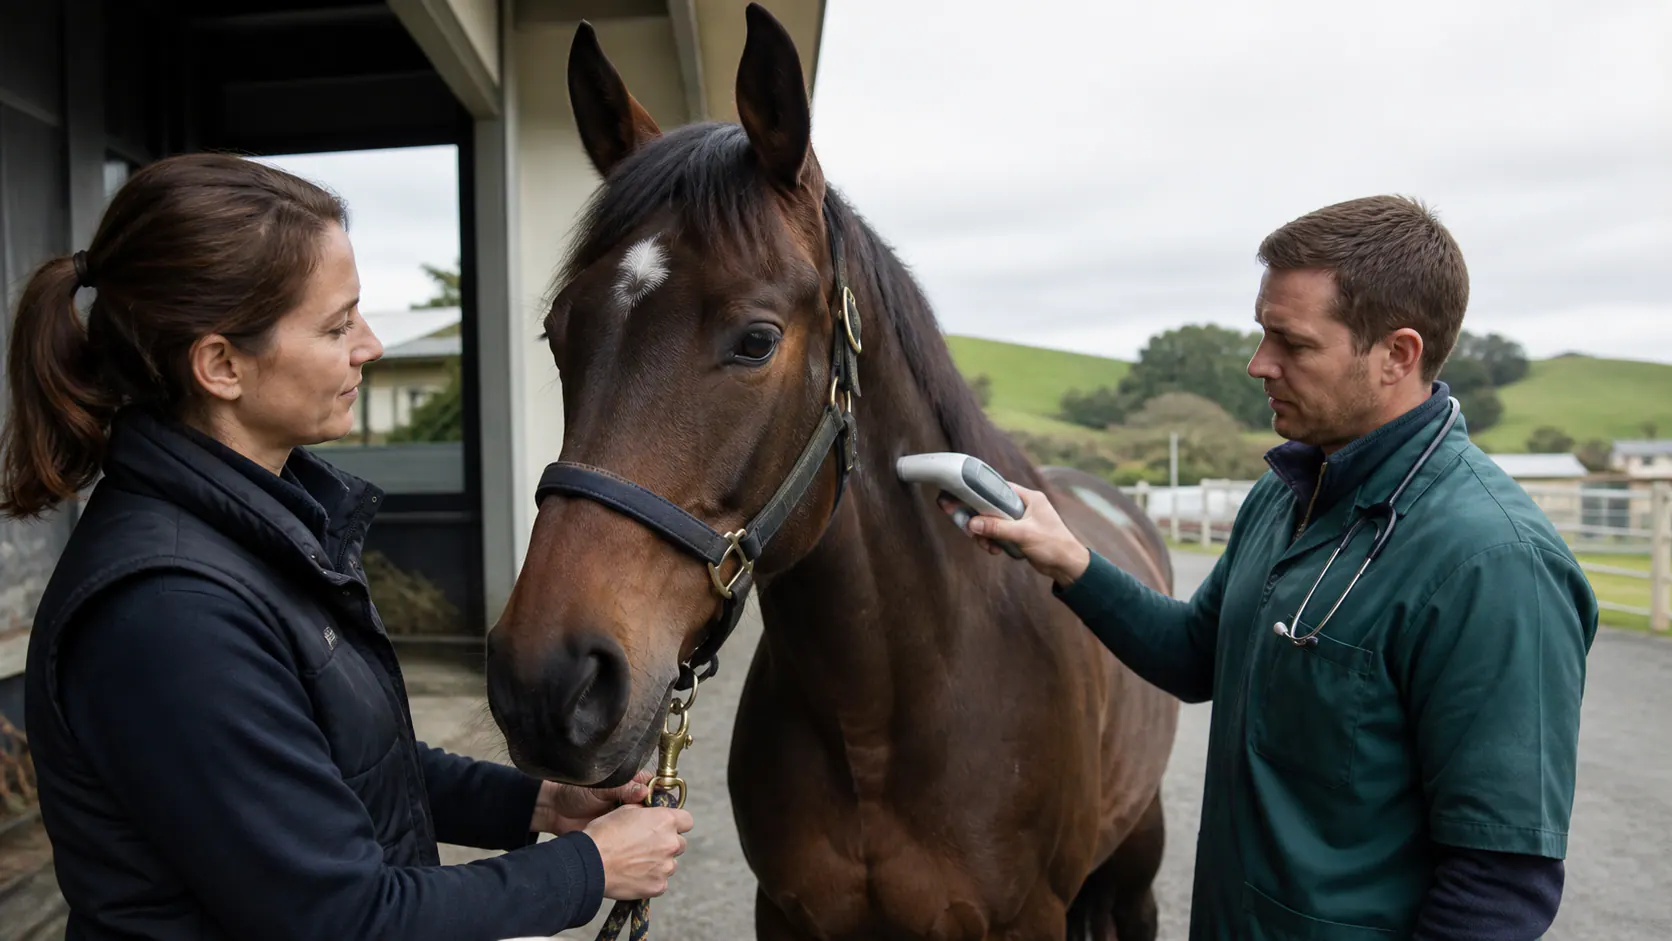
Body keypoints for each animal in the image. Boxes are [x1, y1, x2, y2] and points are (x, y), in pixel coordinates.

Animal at [483, 6, 1181, 938]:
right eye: (559, 332)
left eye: (756, 339)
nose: (546, 680)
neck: (881, 718)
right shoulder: (786, 912)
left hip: (1135, 862)